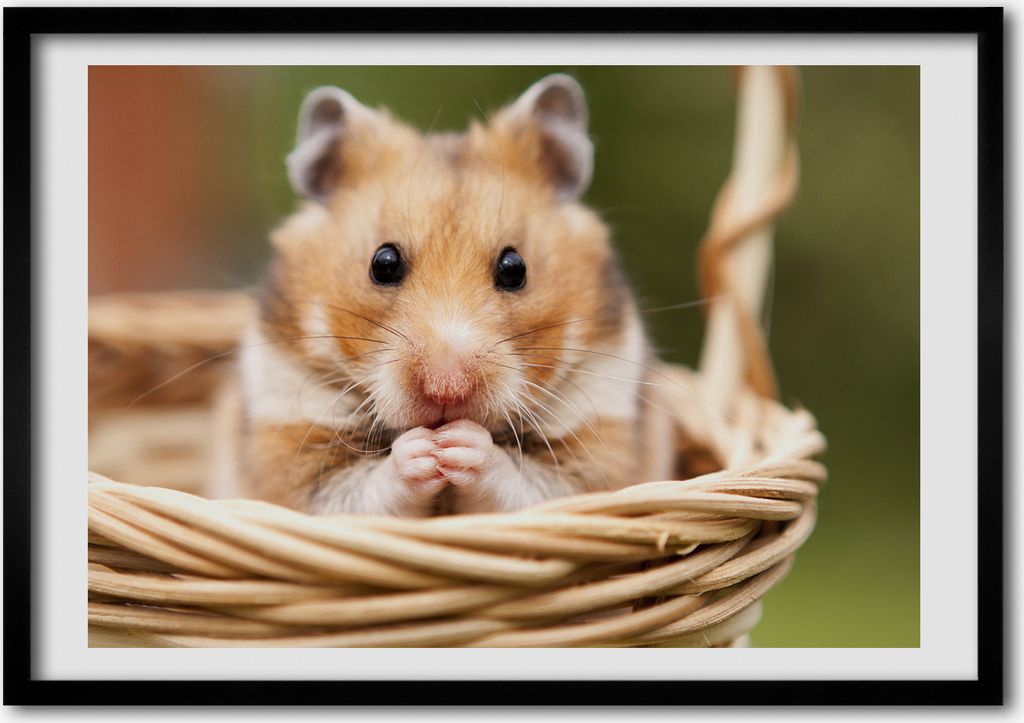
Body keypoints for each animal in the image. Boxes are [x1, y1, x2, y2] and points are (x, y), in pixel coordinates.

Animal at [234, 74, 676, 516]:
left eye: (515, 268)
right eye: (383, 263)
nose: (446, 388)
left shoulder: (597, 448)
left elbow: (529, 484)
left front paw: (458, 445)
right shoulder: (291, 448)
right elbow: (357, 491)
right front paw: (425, 450)